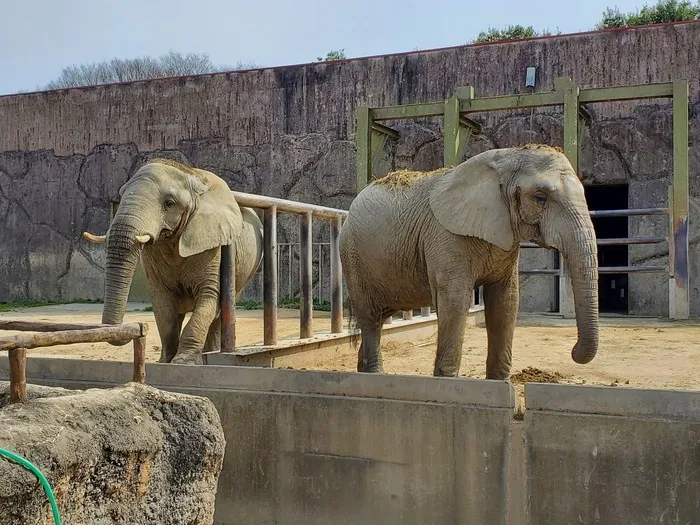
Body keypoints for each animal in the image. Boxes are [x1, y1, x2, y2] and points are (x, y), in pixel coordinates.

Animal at [83, 157, 264, 364]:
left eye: (169, 203)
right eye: (120, 196)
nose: (138, 328)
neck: (192, 176)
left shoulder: (213, 245)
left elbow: (209, 296)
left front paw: (184, 361)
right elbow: (163, 307)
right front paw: (166, 362)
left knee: (223, 309)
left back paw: (210, 354)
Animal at [336, 143, 600, 378]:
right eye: (540, 197)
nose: (574, 351)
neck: (507, 157)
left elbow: (506, 301)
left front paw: (499, 383)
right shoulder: (445, 236)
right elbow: (455, 301)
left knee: (380, 317)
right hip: (352, 254)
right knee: (370, 315)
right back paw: (374, 375)